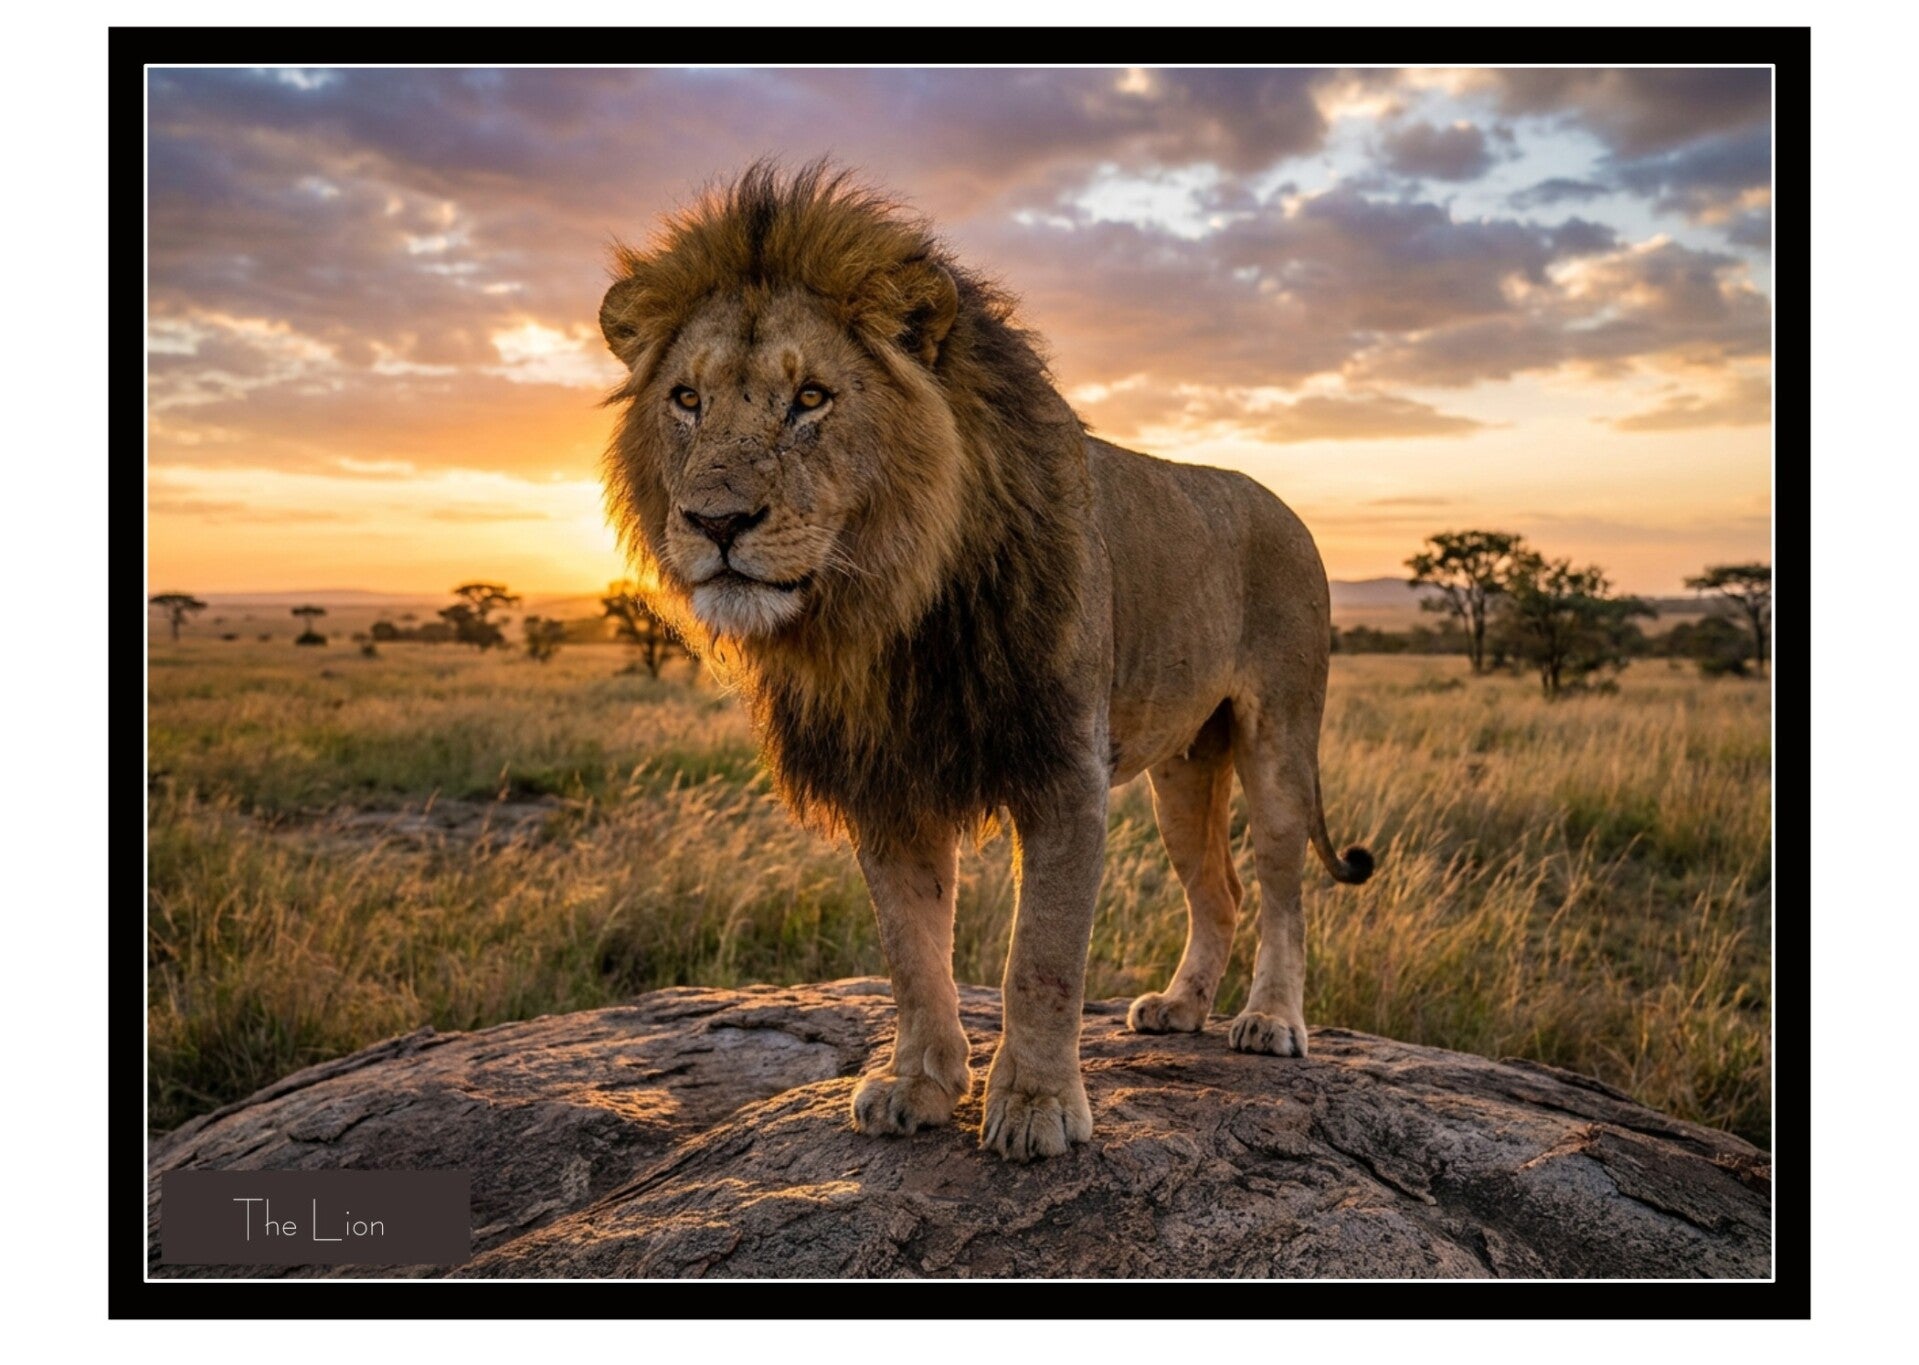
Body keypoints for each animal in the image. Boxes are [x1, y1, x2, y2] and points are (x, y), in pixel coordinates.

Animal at [598, 163, 1374, 1162]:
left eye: (809, 398)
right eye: (686, 400)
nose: (714, 522)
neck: (891, 610)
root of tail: (1286, 506)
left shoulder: (1062, 773)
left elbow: (1038, 958)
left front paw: (1036, 1106)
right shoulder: (888, 784)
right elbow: (911, 952)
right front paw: (916, 1086)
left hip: (1277, 735)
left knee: (1280, 887)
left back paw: (1271, 1020)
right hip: (1181, 766)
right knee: (1219, 888)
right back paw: (1179, 1007)